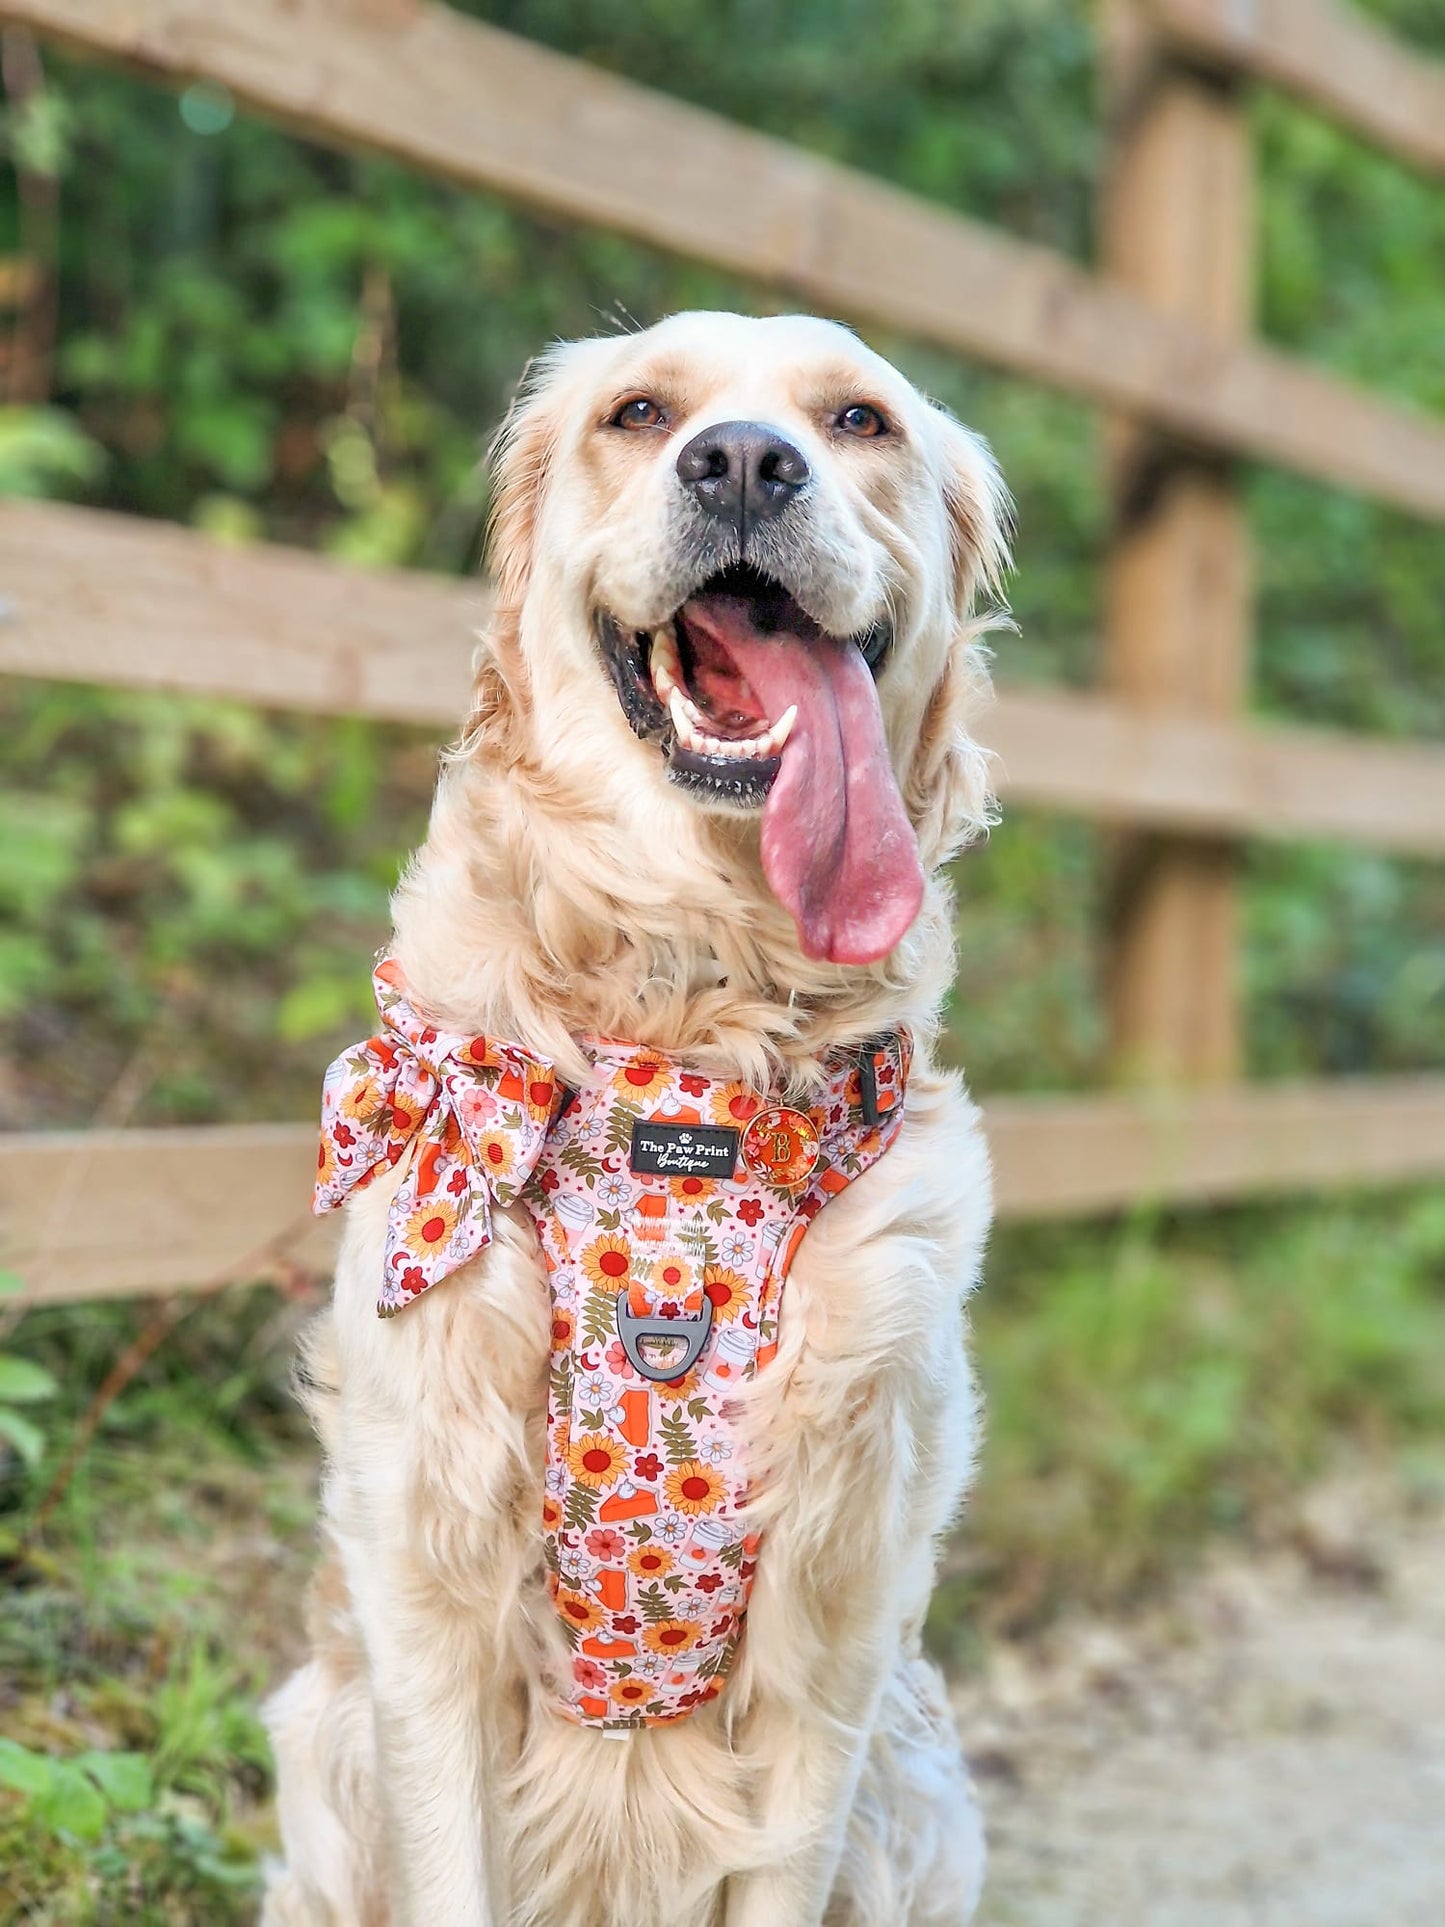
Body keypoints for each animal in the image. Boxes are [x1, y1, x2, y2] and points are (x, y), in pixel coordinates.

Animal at [263, 308, 1009, 1919]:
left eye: (859, 419)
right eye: (642, 411)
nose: (740, 462)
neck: (691, 1033)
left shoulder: (835, 1630)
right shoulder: (424, 1593)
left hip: (917, 1780)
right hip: (329, 1751)